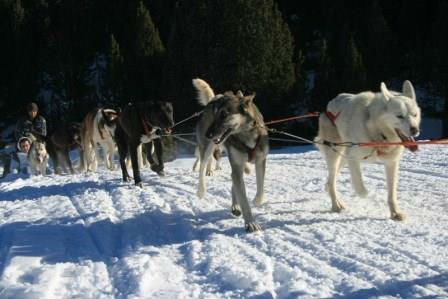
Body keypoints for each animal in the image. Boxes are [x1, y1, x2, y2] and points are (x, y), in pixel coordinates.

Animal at [193, 78, 270, 233]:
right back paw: (201, 190)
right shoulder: (237, 163)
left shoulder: (260, 160)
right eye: (216, 114)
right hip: (207, 149)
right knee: (203, 167)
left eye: (224, 114)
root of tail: (214, 98)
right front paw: (250, 223)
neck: (246, 134)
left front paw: (257, 200)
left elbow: (260, 186)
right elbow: (244, 199)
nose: (208, 134)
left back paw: (235, 206)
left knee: (233, 179)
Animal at [314, 81, 422, 221]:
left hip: (342, 156)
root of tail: (329, 104)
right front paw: (365, 194)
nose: (415, 130)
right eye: (399, 116)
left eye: (415, 115)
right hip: (335, 154)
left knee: (330, 180)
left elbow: (392, 193)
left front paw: (395, 213)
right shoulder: (353, 158)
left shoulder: (391, 163)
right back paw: (336, 205)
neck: (377, 132)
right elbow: (359, 185)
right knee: (332, 181)